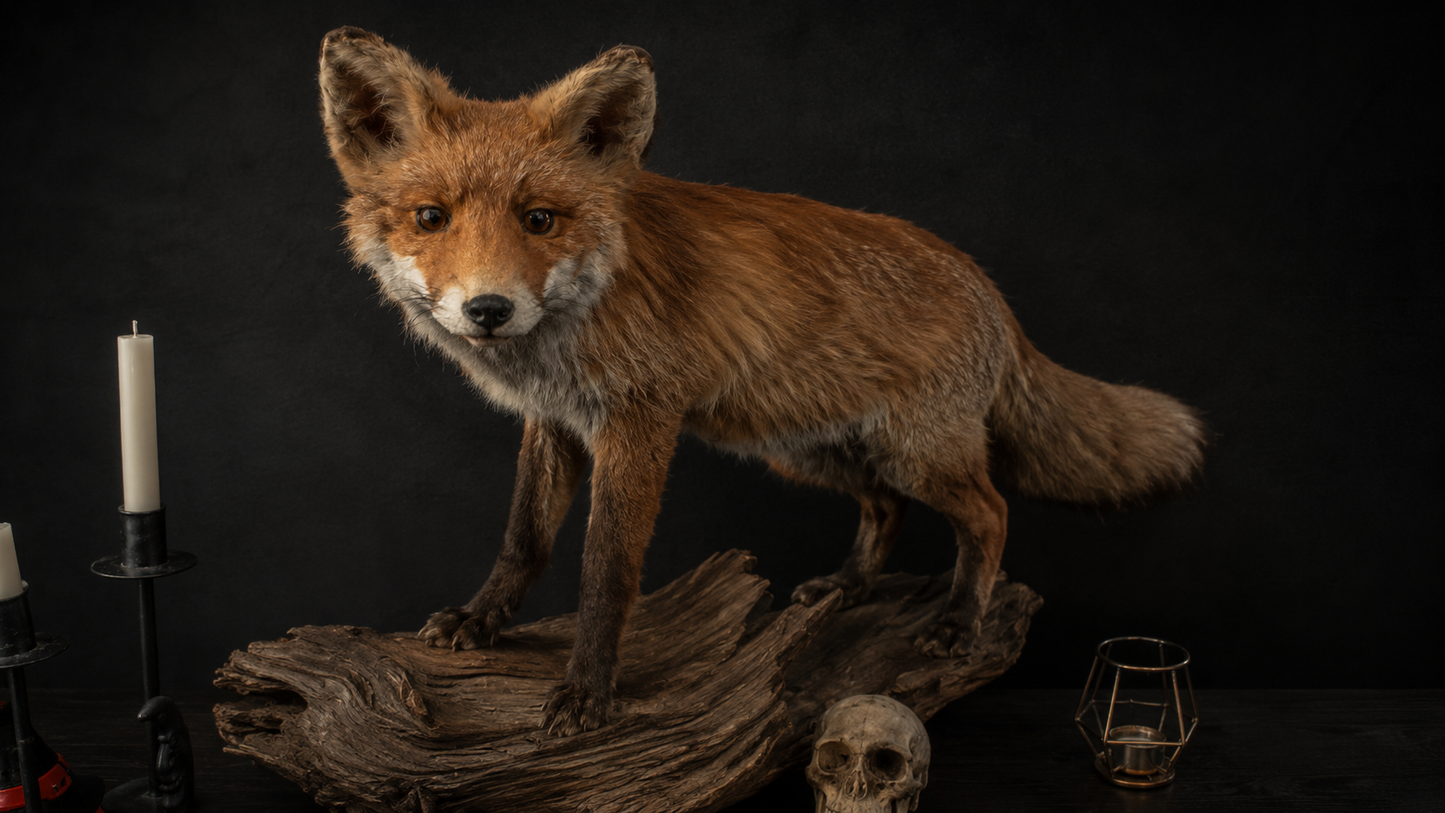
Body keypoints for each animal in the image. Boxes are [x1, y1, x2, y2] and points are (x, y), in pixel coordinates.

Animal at [317, 28, 1206, 736]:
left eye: (539, 220)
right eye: (431, 218)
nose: (489, 309)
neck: (577, 321)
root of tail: (985, 285)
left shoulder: (639, 422)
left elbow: (608, 567)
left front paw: (588, 688)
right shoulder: (557, 422)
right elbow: (523, 538)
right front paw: (482, 618)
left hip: (915, 452)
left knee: (987, 512)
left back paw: (959, 620)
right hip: (807, 450)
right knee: (884, 507)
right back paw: (847, 586)